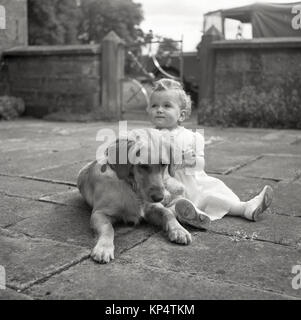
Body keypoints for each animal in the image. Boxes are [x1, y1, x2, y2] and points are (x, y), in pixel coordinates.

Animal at [76, 134, 191, 262]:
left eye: (163, 164)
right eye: (143, 166)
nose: (158, 197)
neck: (133, 188)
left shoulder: (152, 207)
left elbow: (168, 213)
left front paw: (179, 230)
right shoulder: (99, 213)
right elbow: (108, 228)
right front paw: (104, 247)